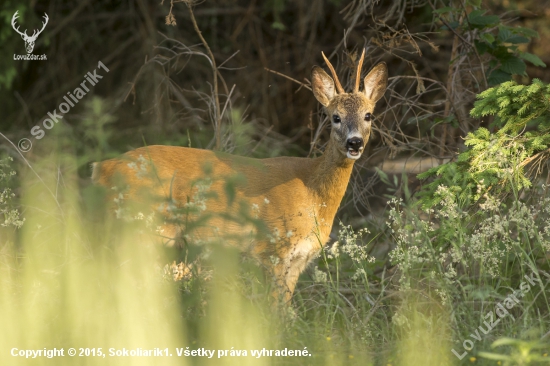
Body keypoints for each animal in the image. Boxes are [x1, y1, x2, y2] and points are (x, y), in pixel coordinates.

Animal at [91, 50, 388, 302]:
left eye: (368, 115)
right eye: (335, 117)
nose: (354, 143)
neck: (313, 192)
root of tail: (102, 168)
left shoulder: (297, 260)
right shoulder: (273, 250)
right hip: (143, 228)